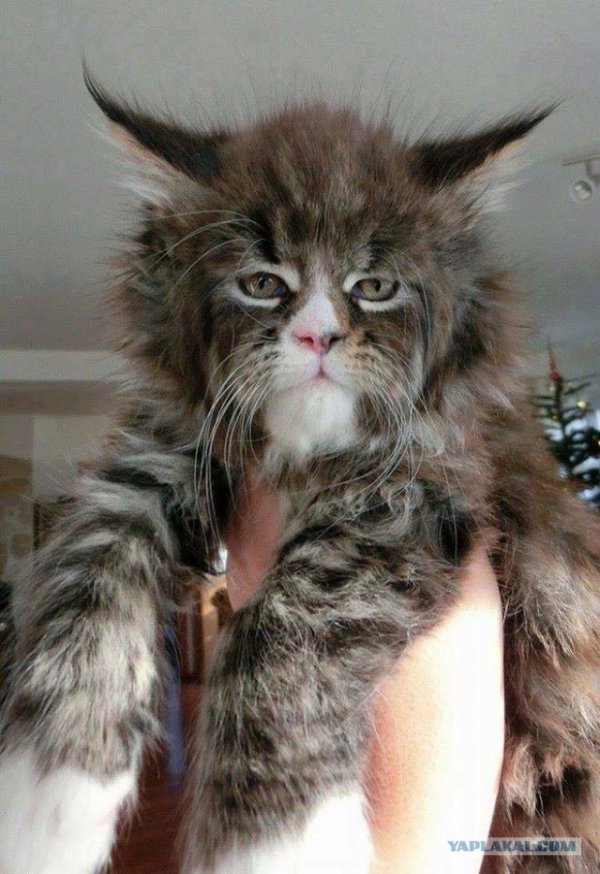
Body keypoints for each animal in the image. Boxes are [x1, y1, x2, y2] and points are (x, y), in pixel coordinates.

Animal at [0, 73, 599, 874]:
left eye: (373, 286)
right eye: (261, 282)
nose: (319, 335)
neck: (300, 457)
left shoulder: (417, 494)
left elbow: (277, 622)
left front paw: (273, 844)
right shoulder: (161, 449)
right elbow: (89, 565)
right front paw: (45, 800)